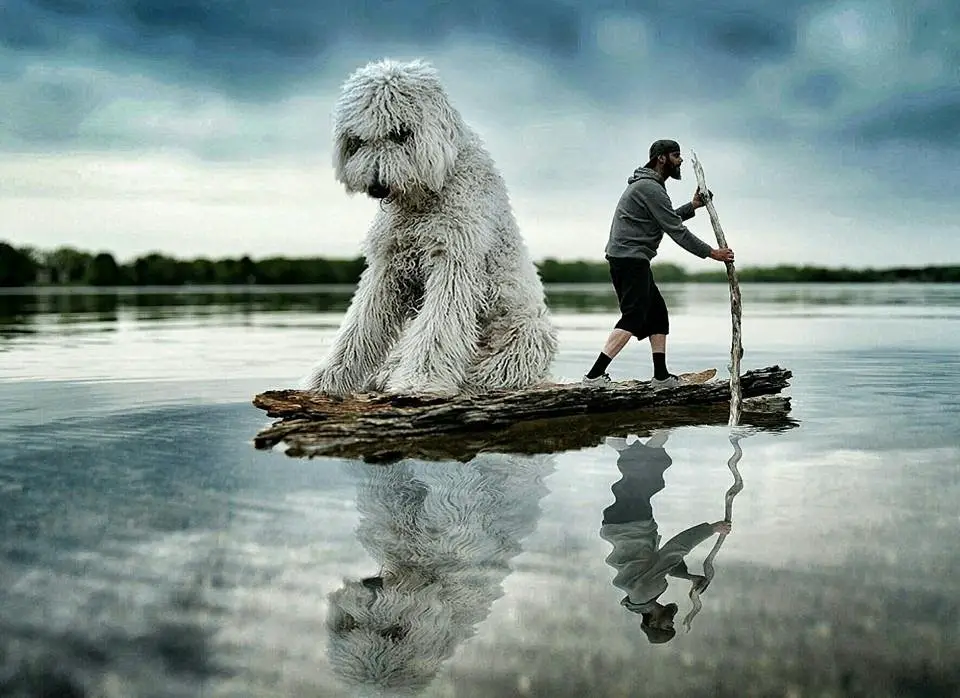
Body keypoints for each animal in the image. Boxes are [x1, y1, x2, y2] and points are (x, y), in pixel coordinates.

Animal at [308, 58, 560, 396]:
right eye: (359, 140)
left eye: (400, 133)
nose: (376, 186)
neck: (424, 198)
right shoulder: (387, 268)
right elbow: (359, 326)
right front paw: (327, 379)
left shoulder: (453, 261)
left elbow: (438, 326)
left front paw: (419, 381)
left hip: (525, 334)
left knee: (492, 371)